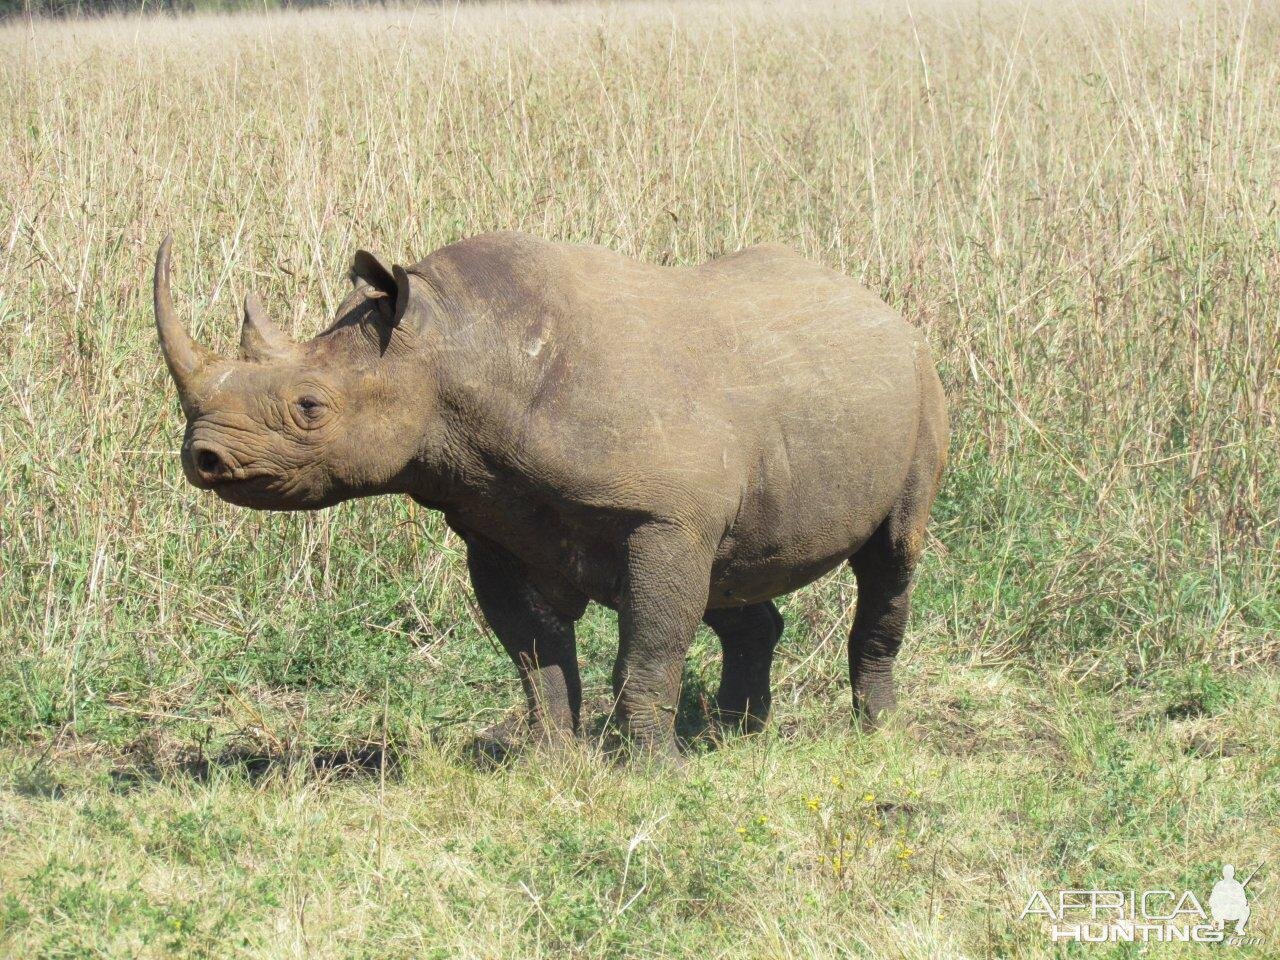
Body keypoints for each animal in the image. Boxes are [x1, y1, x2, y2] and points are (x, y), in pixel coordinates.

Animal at [152, 229, 952, 762]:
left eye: (310, 408)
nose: (204, 458)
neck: (455, 350)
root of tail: (884, 308)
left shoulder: (664, 517)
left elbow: (650, 644)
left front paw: (648, 770)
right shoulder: (494, 521)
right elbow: (534, 653)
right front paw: (553, 762)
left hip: (920, 384)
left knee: (891, 556)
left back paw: (876, 732)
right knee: (735, 569)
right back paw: (735, 736)